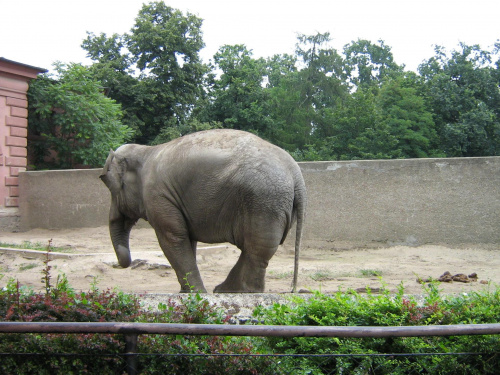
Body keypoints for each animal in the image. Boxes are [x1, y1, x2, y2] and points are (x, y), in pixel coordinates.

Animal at [99, 129, 306, 294]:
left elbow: (173, 238)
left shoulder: (158, 195)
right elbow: (186, 239)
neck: (145, 151)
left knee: (255, 249)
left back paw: (235, 291)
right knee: (254, 249)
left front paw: (195, 293)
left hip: (264, 201)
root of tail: (296, 173)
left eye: (108, 185)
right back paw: (228, 291)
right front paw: (186, 292)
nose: (124, 264)